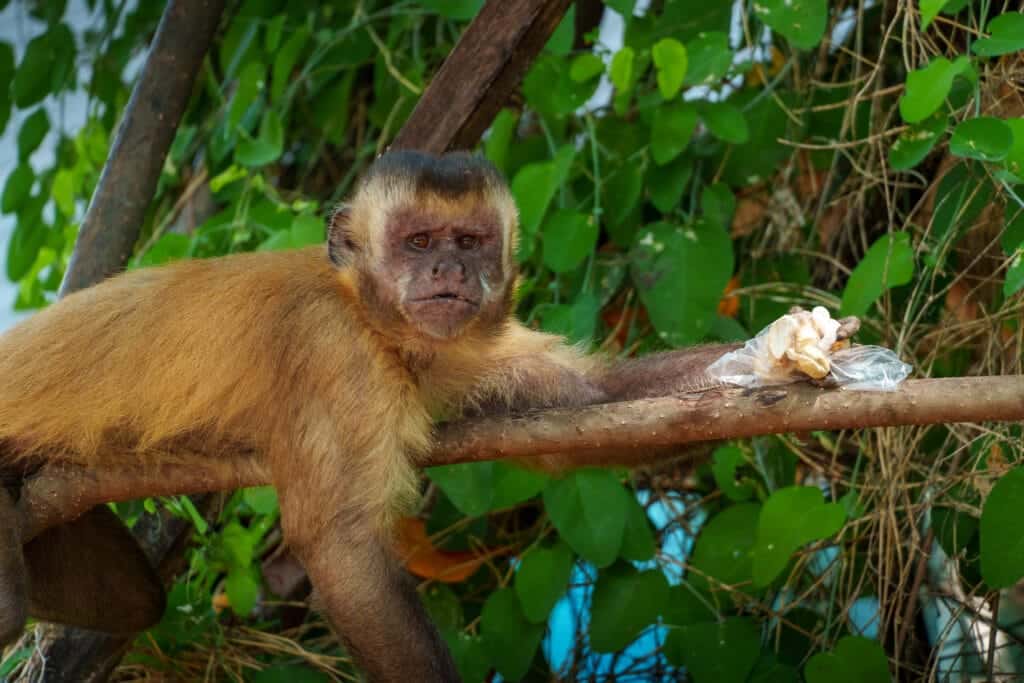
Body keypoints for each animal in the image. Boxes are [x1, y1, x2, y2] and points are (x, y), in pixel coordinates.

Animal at [0, 151, 815, 681]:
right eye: (418, 242)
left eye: (470, 242)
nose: (448, 270)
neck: (365, 311)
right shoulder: (336, 354)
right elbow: (340, 546)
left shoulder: (448, 344)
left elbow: (589, 405)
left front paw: (805, 356)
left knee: (134, 595)